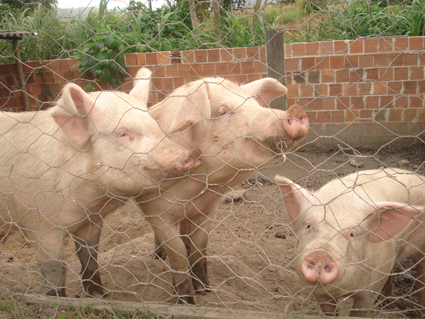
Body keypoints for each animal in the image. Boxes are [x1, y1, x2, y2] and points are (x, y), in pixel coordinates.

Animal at [131, 68, 310, 304]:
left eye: (254, 104)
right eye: (223, 111)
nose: (295, 111)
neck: (195, 192)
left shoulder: (207, 212)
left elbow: (199, 250)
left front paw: (206, 290)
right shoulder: (158, 212)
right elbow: (177, 256)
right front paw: (187, 302)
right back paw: (156, 257)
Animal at [274, 168, 424, 318]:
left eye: (352, 234)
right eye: (309, 225)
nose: (320, 255)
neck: (344, 290)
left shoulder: (370, 290)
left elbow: (359, 312)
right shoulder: (320, 294)